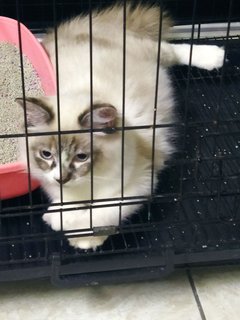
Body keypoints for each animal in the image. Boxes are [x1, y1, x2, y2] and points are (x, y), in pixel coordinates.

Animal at [17, 3, 225, 250]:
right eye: (46, 154)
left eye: (82, 157)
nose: (62, 178)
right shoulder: (53, 184)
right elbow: (66, 205)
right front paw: (65, 224)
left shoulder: (137, 184)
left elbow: (101, 214)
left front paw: (81, 236)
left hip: (148, 53)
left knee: (170, 49)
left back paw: (216, 56)